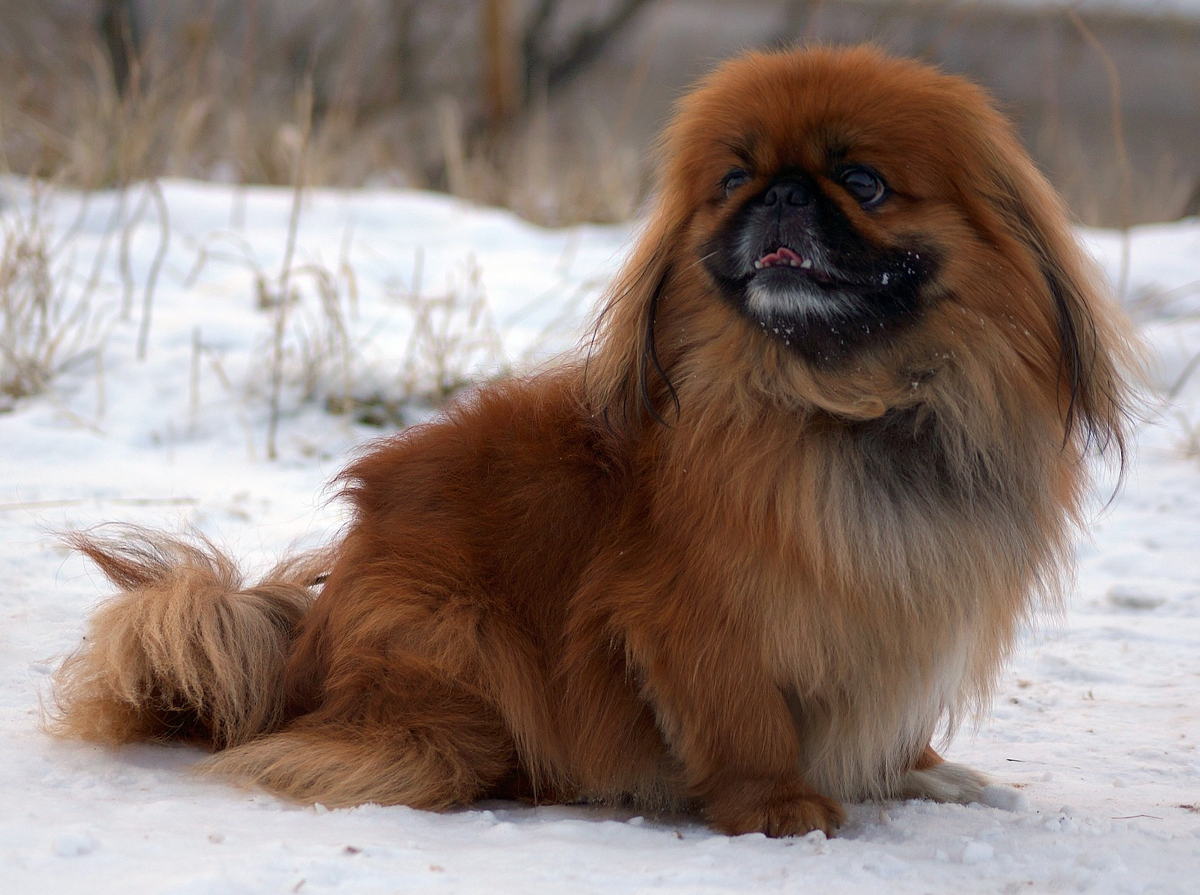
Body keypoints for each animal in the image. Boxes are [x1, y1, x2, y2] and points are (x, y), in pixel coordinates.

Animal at [46, 45, 1132, 835]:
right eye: (733, 178)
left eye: (861, 181)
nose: (781, 192)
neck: (837, 405)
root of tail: (299, 665)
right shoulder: (697, 617)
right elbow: (747, 720)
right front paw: (780, 806)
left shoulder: (899, 602)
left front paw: (923, 773)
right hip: (455, 643)